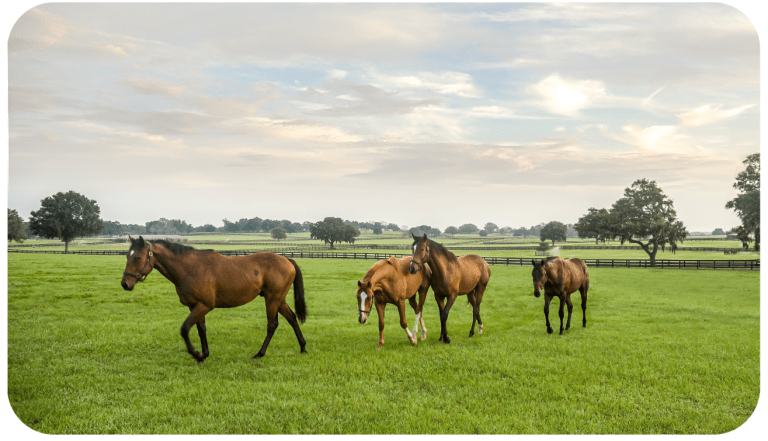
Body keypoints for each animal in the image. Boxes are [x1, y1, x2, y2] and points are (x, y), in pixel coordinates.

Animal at [120, 236, 307, 362]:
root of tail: (288, 260)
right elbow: (200, 329)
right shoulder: (195, 306)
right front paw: (204, 354)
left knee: (272, 324)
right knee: (292, 318)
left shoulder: (204, 305)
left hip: (272, 299)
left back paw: (259, 354)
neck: (190, 268)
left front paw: (196, 354)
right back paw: (303, 347)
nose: (125, 283)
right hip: (279, 299)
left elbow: (185, 328)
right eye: (127, 256)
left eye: (137, 257)